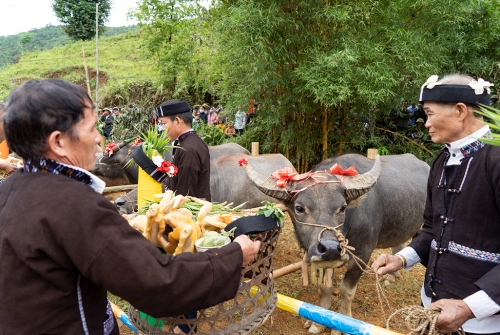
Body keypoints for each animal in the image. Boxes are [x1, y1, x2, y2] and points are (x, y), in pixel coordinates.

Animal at [244, 154, 428, 334]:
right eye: (299, 208)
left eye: (343, 207)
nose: (331, 248)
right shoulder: (324, 259)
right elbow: (325, 287)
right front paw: (318, 322)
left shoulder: (363, 253)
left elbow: (346, 290)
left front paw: (343, 324)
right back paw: (391, 276)